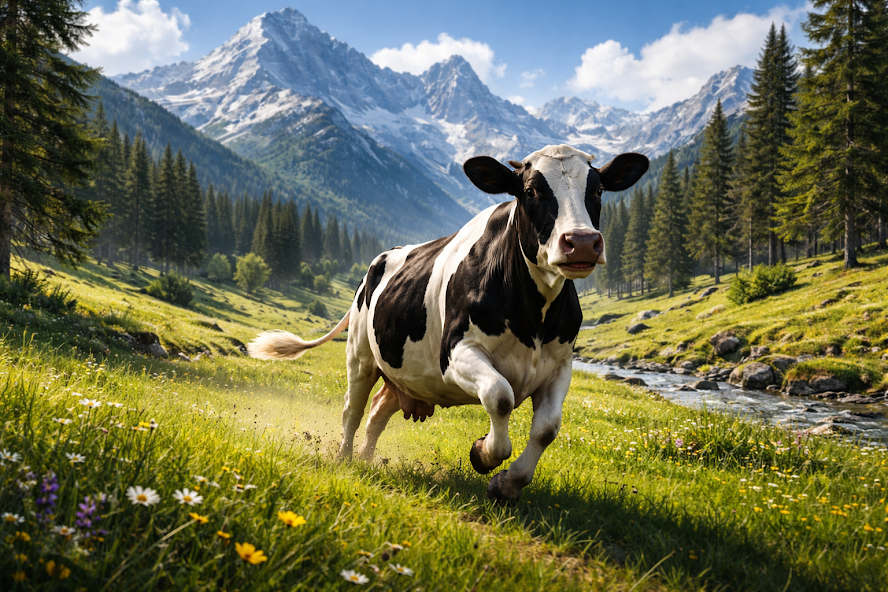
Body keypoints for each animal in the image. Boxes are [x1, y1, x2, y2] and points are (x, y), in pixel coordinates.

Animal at [248, 144, 648, 502]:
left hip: (402, 375)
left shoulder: (560, 364)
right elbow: (500, 396)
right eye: (530, 191)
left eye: (597, 191)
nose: (581, 242)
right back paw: (345, 459)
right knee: (353, 409)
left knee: (377, 412)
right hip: (360, 354)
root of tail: (380, 260)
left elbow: (547, 429)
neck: (533, 314)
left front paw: (507, 485)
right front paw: (483, 453)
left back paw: (366, 458)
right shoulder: (456, 354)